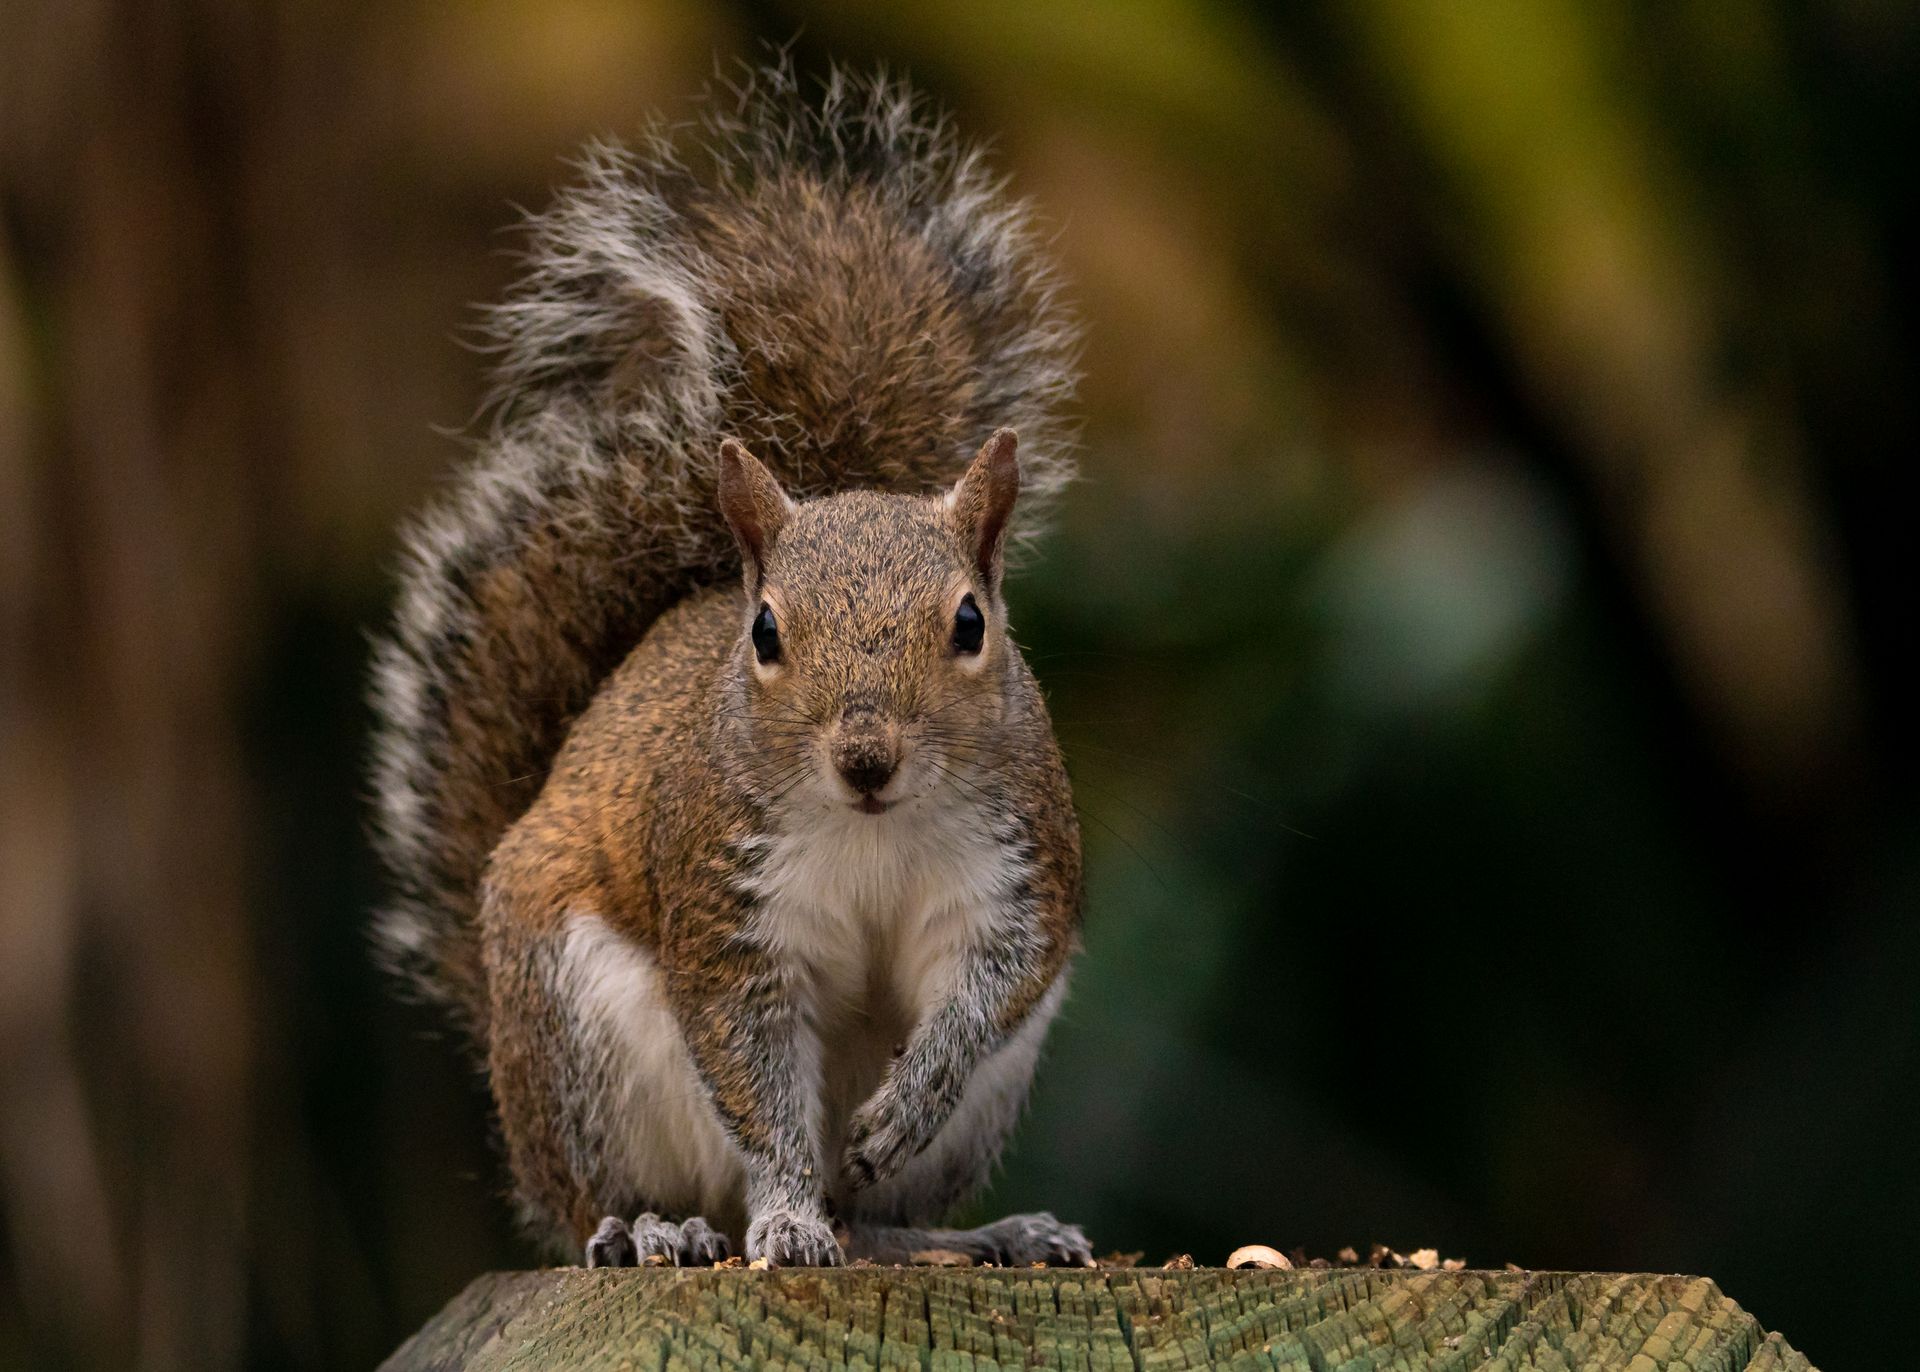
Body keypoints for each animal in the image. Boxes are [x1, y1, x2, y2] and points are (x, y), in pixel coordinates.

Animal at [368, 66, 1091, 1268]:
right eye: (764, 634)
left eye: (970, 623)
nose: (865, 757)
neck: (872, 830)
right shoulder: (724, 905)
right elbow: (755, 1075)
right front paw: (789, 1216)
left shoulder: (1017, 863)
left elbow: (992, 986)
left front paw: (909, 1100)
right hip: (580, 1037)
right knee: (605, 1199)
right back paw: (657, 1228)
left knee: (877, 1216)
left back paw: (975, 1234)